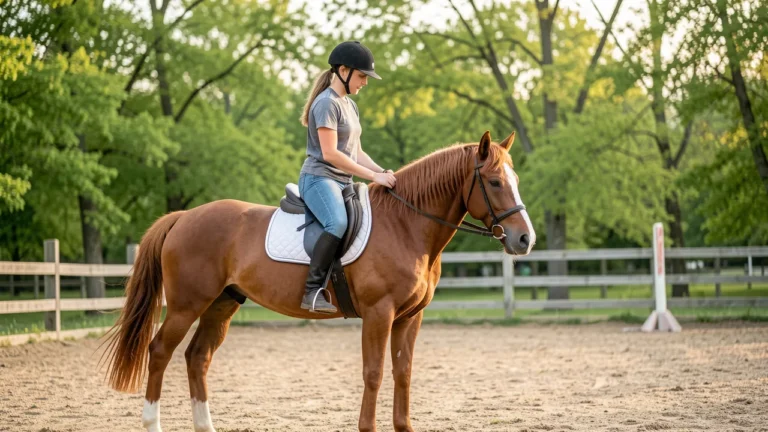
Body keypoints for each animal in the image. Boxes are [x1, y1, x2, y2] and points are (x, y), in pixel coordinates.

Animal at [101, 130, 536, 432]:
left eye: (514, 179)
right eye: (495, 182)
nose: (524, 239)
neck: (405, 224)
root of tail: (183, 217)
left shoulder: (409, 317)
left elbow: (403, 373)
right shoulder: (379, 314)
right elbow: (374, 373)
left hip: (221, 304)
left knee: (197, 357)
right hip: (186, 305)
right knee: (160, 352)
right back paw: (153, 423)